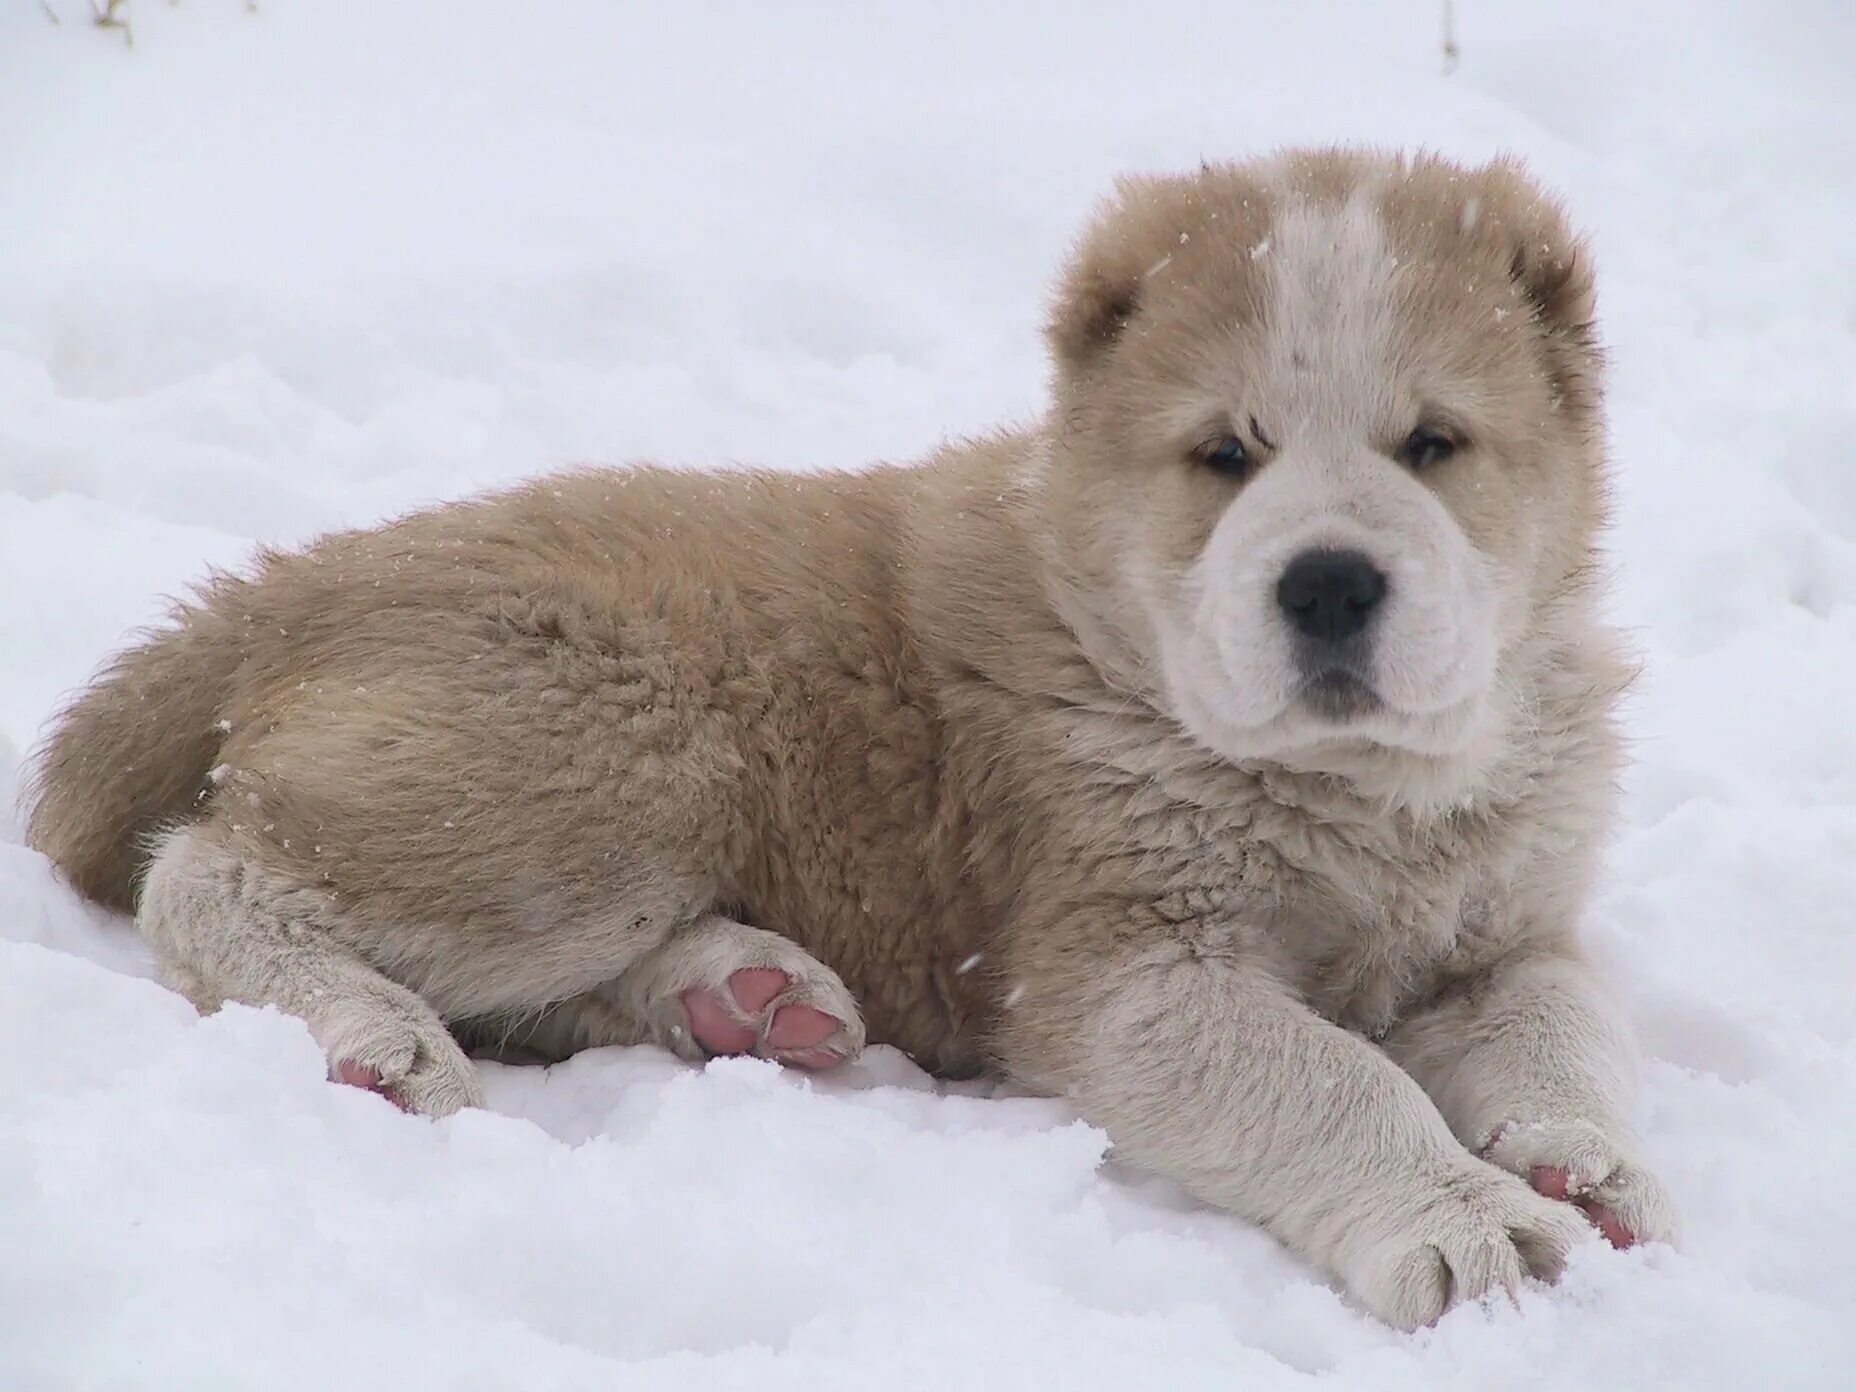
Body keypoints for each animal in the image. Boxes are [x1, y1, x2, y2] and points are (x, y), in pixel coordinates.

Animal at [25, 147, 1685, 1321]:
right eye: (1228, 455)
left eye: (1434, 445)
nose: (1330, 580)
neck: (1355, 792)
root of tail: (293, 585)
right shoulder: (1130, 969)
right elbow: (1333, 1081)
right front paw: (1464, 1216)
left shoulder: (1506, 932)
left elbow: (1568, 1024)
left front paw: (1587, 1162)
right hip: (603, 782)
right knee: (214, 875)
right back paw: (381, 1035)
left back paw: (741, 1000)